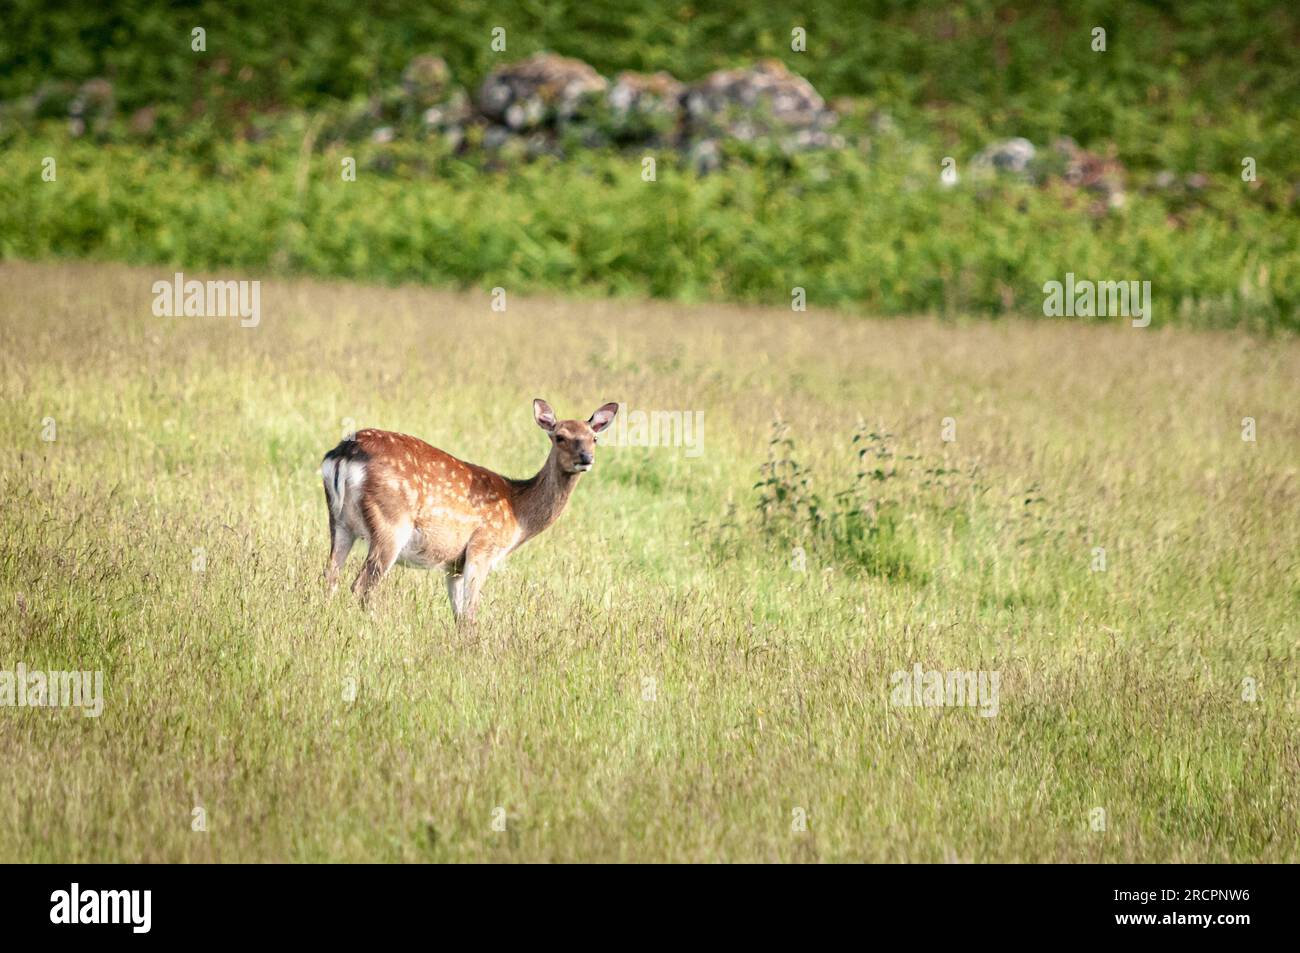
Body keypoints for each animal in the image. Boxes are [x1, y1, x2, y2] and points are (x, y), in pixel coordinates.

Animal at [317, 397, 616, 621]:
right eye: (560, 437)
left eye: (594, 438)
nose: (586, 458)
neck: (517, 514)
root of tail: (343, 454)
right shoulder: (482, 548)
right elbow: (471, 614)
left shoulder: (454, 565)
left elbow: (459, 616)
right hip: (391, 523)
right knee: (362, 585)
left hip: (339, 521)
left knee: (330, 576)